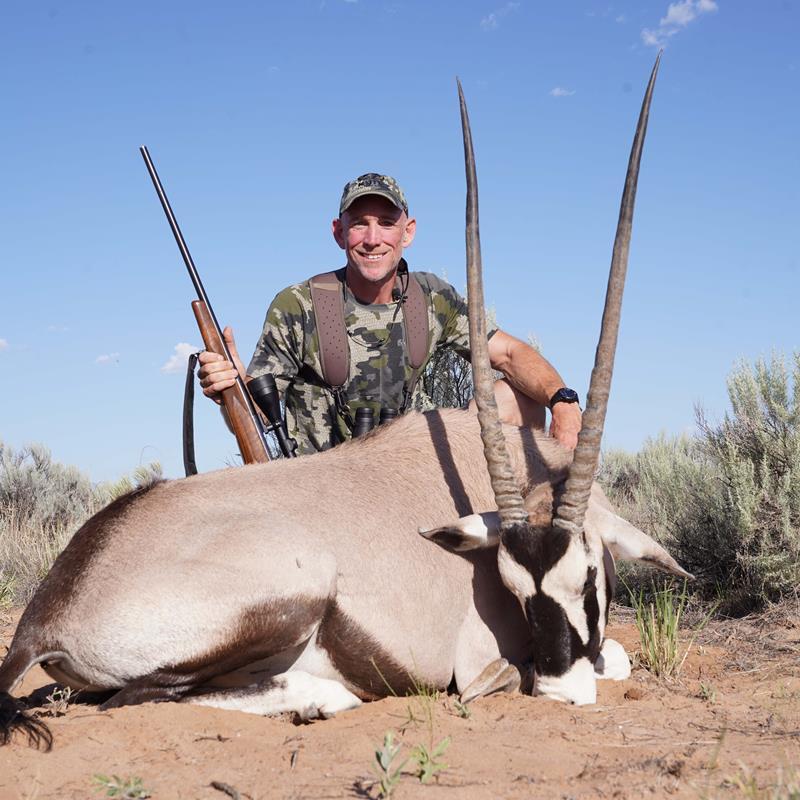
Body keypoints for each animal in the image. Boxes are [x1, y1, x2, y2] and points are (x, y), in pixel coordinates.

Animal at [0, 54, 688, 751]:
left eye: (590, 578)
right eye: (512, 588)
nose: (557, 688)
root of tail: (45, 613)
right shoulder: (477, 664)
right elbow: (608, 660)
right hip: (288, 599)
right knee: (137, 697)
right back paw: (324, 697)